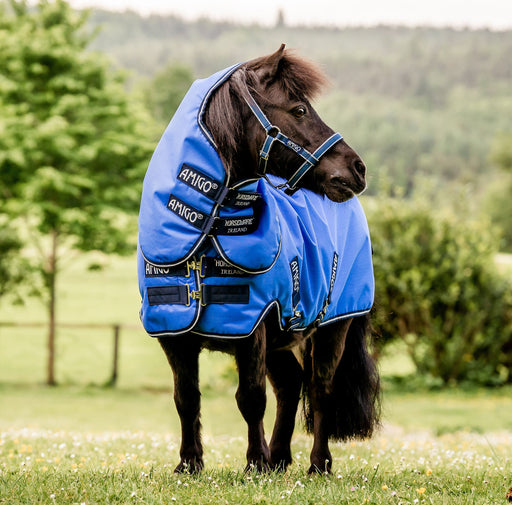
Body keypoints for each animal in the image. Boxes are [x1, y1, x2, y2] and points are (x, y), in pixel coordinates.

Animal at [160, 44, 380, 472]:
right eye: (299, 109)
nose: (357, 168)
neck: (205, 235)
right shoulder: (175, 335)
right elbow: (186, 398)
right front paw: (189, 464)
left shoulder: (252, 328)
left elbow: (250, 397)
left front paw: (254, 463)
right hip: (282, 339)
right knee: (292, 384)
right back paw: (279, 457)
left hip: (333, 328)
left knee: (320, 388)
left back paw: (317, 464)